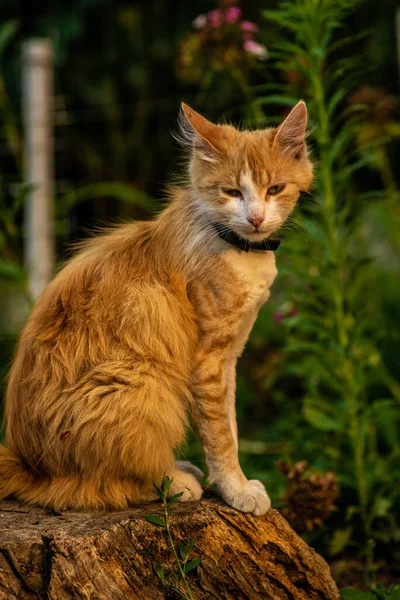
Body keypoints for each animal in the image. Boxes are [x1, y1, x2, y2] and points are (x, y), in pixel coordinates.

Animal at [0, 101, 312, 512]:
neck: (233, 244)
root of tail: (30, 464)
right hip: (139, 382)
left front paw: (234, 482)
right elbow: (220, 435)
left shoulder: (229, 358)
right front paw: (236, 488)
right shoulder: (207, 360)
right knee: (99, 486)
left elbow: (229, 425)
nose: (256, 217)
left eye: (274, 189)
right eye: (231, 192)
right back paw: (171, 481)